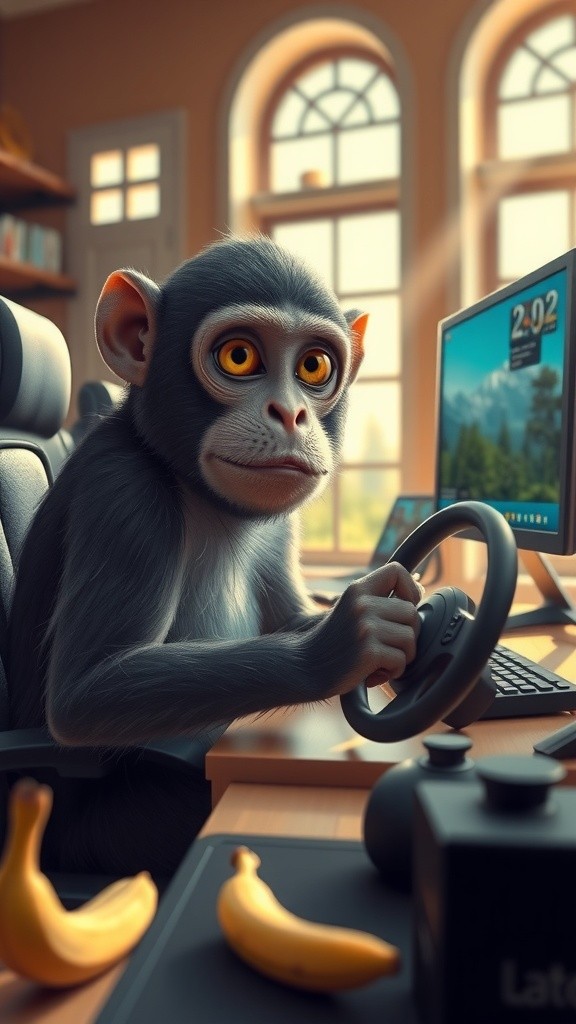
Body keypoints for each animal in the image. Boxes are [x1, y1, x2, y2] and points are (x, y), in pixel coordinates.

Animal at [7, 235, 422, 878]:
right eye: (238, 356)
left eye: (314, 367)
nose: (290, 413)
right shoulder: (124, 495)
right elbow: (87, 692)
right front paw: (347, 642)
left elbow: (291, 615)